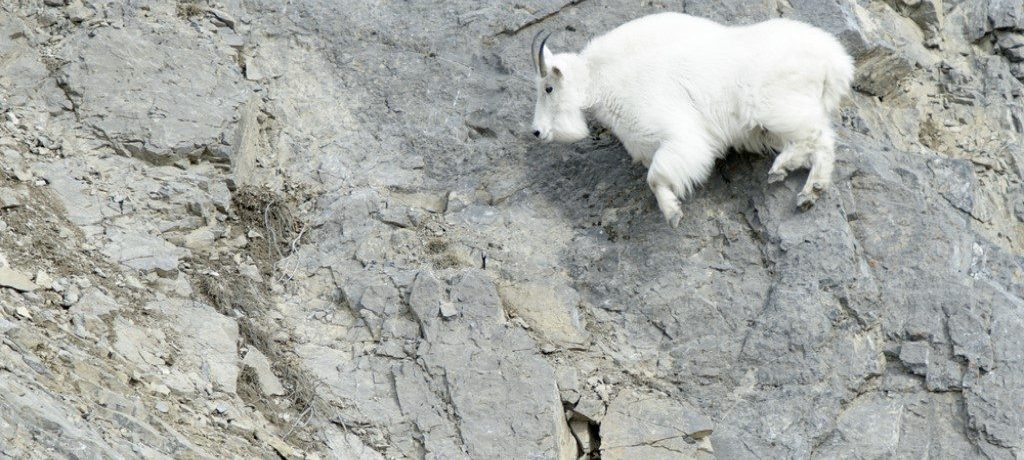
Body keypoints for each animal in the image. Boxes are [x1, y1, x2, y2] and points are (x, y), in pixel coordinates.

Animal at [532, 13, 851, 227]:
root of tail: (834, 61)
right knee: (820, 144)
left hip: (778, 108)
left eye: (548, 88)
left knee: (816, 135)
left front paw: (673, 213)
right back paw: (809, 191)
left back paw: (782, 169)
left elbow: (656, 178)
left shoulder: (679, 136)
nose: (536, 131)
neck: (604, 80)